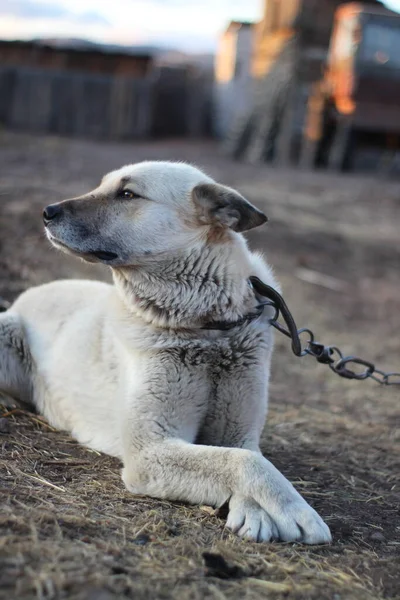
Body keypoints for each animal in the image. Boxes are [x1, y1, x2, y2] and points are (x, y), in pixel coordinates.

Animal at [0, 162, 332, 548]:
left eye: (127, 194)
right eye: (103, 186)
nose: (46, 212)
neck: (206, 331)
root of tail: (28, 294)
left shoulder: (238, 433)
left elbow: (245, 454)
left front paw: (256, 511)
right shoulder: (149, 450)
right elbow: (243, 462)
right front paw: (295, 511)